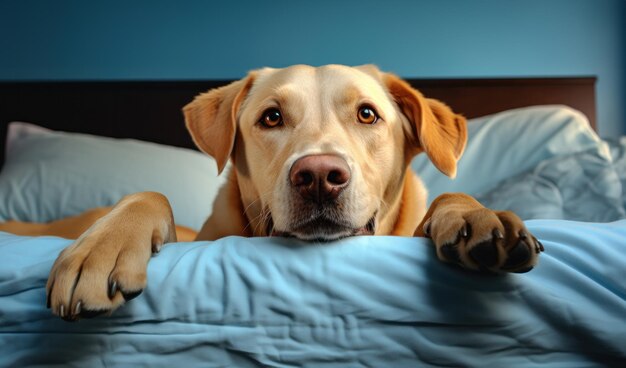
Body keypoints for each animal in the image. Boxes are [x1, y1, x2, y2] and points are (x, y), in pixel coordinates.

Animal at [0, 64, 540, 320]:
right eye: (272, 117)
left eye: (368, 114)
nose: (319, 175)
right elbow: (150, 197)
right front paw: (104, 246)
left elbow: (448, 201)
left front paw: (475, 216)